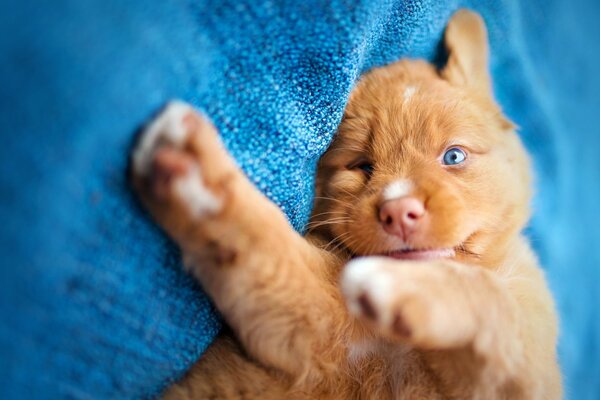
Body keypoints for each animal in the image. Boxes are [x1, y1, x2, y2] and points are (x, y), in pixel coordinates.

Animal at [131, 9, 564, 400]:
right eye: (362, 166)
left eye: (453, 156)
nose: (399, 212)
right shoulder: (313, 319)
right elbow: (265, 246)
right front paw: (195, 167)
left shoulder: (530, 371)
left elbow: (492, 300)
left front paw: (401, 285)